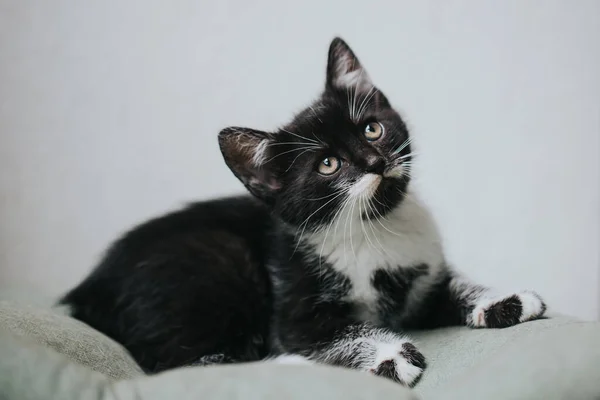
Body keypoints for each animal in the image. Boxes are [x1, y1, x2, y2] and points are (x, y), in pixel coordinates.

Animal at [58, 39, 548, 386]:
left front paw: (501, 299)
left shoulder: (423, 277)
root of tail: (87, 289)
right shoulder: (294, 307)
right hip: (218, 263)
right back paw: (291, 367)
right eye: (328, 164)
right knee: (177, 365)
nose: (376, 162)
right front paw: (389, 354)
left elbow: (452, 285)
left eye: (373, 128)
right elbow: (335, 332)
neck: (373, 231)